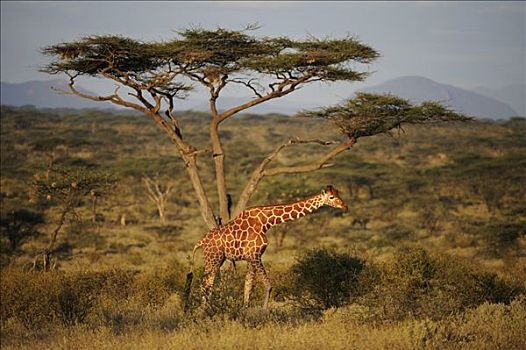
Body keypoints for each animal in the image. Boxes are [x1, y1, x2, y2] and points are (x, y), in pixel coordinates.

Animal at [188, 185, 348, 310]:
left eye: (339, 193)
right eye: (332, 197)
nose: (345, 207)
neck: (266, 221)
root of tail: (201, 241)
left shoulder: (250, 257)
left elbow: (248, 285)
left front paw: (244, 310)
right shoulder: (255, 255)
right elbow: (268, 285)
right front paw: (264, 313)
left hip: (218, 259)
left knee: (208, 283)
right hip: (213, 258)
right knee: (205, 284)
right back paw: (205, 312)